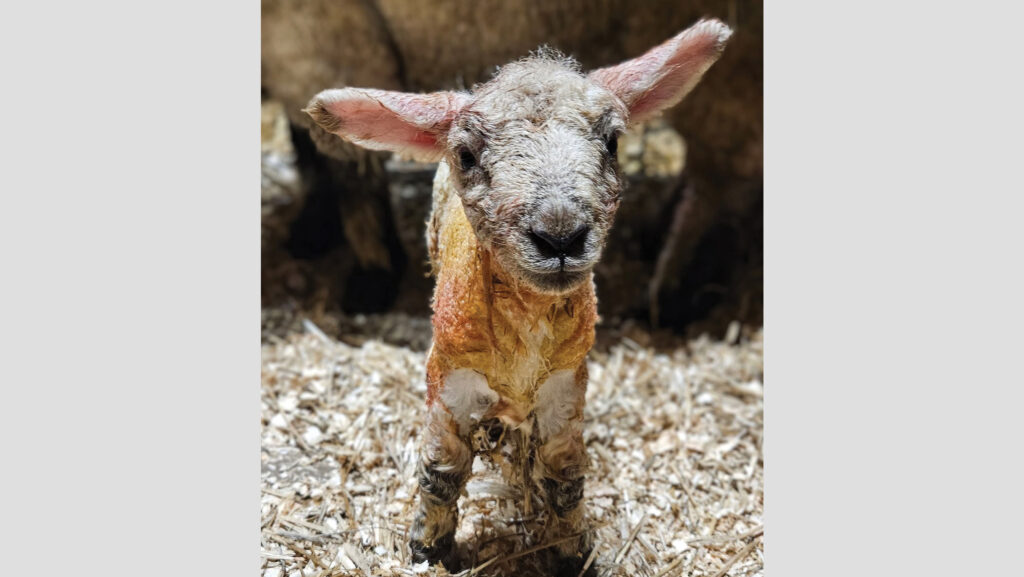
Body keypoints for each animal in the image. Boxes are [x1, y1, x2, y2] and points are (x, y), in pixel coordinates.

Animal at [304, 19, 731, 574]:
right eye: (466, 155)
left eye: (612, 142)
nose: (560, 236)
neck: (524, 328)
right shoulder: (450, 379)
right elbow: (441, 473)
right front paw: (428, 549)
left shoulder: (566, 385)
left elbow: (565, 477)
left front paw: (571, 552)